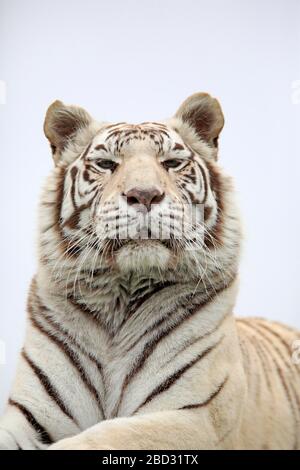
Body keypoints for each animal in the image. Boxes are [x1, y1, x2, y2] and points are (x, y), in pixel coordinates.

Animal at [0, 93, 300, 450]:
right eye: (106, 164)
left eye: (171, 163)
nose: (144, 194)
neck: (120, 302)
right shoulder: (29, 414)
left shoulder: (196, 417)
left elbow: (104, 435)